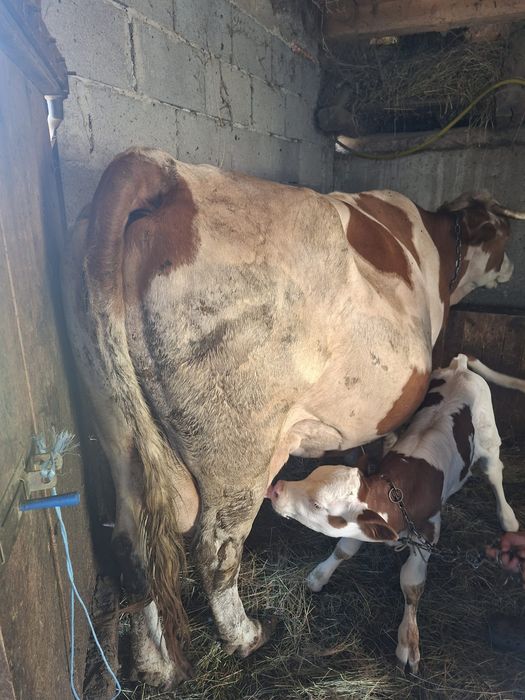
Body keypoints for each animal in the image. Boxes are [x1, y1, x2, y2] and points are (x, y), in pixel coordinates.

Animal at [266, 354, 523, 672]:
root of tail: (460, 365)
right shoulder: (367, 523)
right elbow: (344, 549)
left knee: (495, 473)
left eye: (317, 505)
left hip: (488, 439)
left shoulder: (428, 532)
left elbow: (412, 583)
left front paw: (408, 641)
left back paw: (507, 517)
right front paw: (319, 576)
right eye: (309, 476)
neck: (396, 494)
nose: (277, 488)